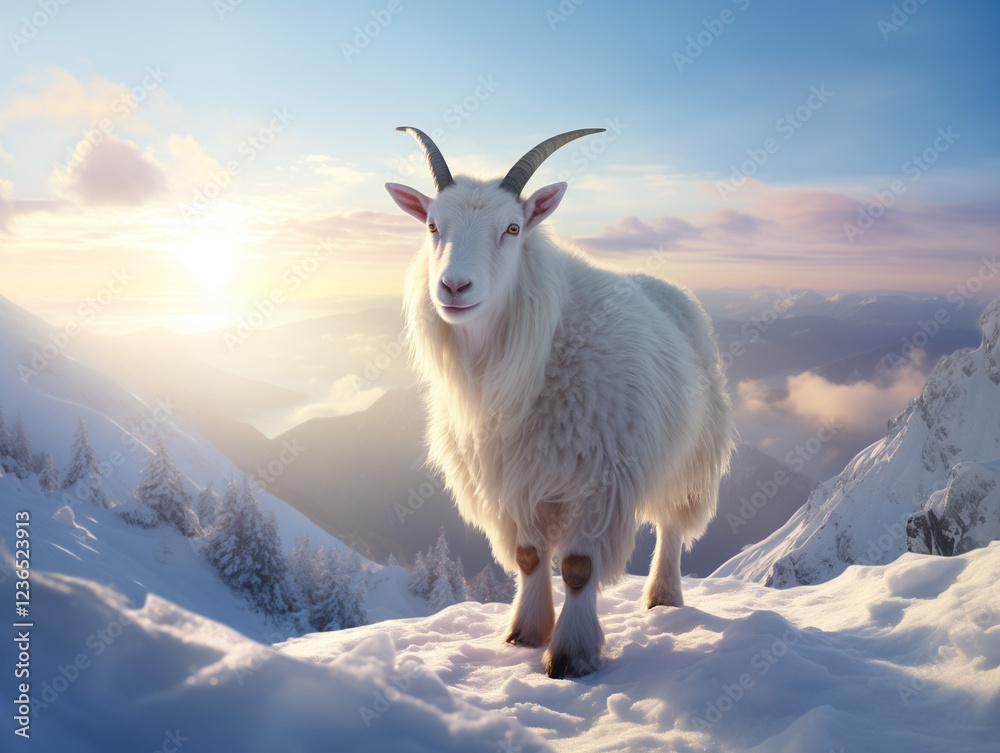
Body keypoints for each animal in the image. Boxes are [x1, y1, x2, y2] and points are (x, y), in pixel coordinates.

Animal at [386, 127, 736, 678]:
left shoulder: (601, 479)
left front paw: (571, 655)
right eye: (432, 225)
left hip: (690, 454)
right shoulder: (515, 480)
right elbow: (530, 558)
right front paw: (525, 635)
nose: (454, 286)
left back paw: (663, 597)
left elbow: (577, 568)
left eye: (512, 228)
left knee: (673, 524)